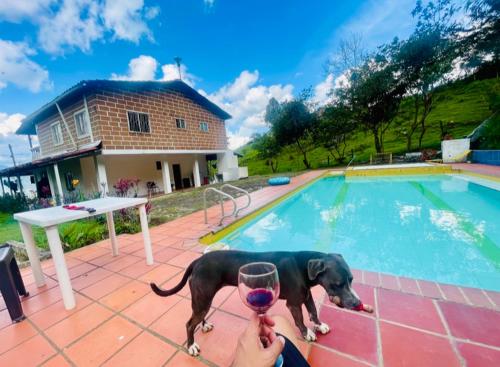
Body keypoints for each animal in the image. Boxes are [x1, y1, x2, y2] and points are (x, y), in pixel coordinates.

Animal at [150, 250, 362, 356]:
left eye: (351, 280)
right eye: (337, 284)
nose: (356, 303)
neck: (303, 265)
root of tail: (197, 261)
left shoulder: (307, 295)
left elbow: (313, 312)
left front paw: (319, 325)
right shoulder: (294, 303)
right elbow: (300, 319)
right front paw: (307, 333)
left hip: (204, 298)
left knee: (197, 317)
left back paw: (204, 325)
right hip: (203, 298)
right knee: (189, 323)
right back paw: (191, 346)